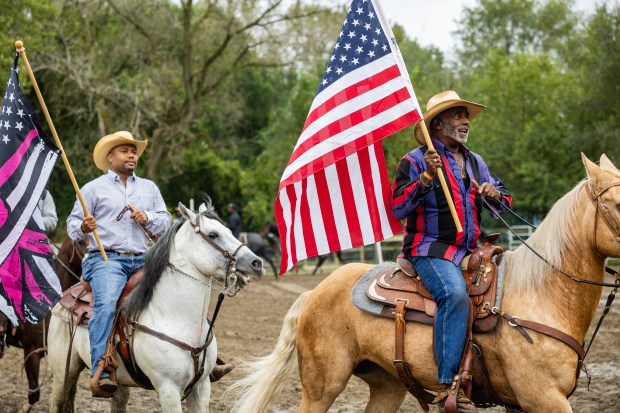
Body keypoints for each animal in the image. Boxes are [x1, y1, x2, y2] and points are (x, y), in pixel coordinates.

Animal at [46, 200, 264, 412]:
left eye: (228, 230)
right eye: (213, 234)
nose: (257, 263)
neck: (175, 319)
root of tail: (69, 293)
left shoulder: (201, 387)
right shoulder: (169, 390)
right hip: (63, 372)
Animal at [230, 154, 620, 412]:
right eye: (616, 203)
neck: (541, 293)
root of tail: (315, 292)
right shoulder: (542, 397)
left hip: (386, 386)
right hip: (321, 386)